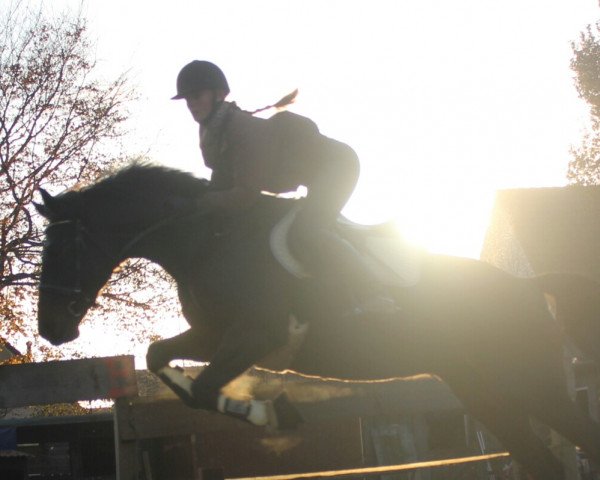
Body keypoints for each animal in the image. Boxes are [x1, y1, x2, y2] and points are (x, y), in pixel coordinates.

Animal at [35, 163, 600, 478]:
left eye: (62, 248)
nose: (51, 330)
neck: (207, 240)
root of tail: (529, 286)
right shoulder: (216, 336)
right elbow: (160, 357)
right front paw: (261, 411)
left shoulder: (253, 335)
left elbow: (206, 387)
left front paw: (267, 415)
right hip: (484, 393)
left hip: (531, 383)